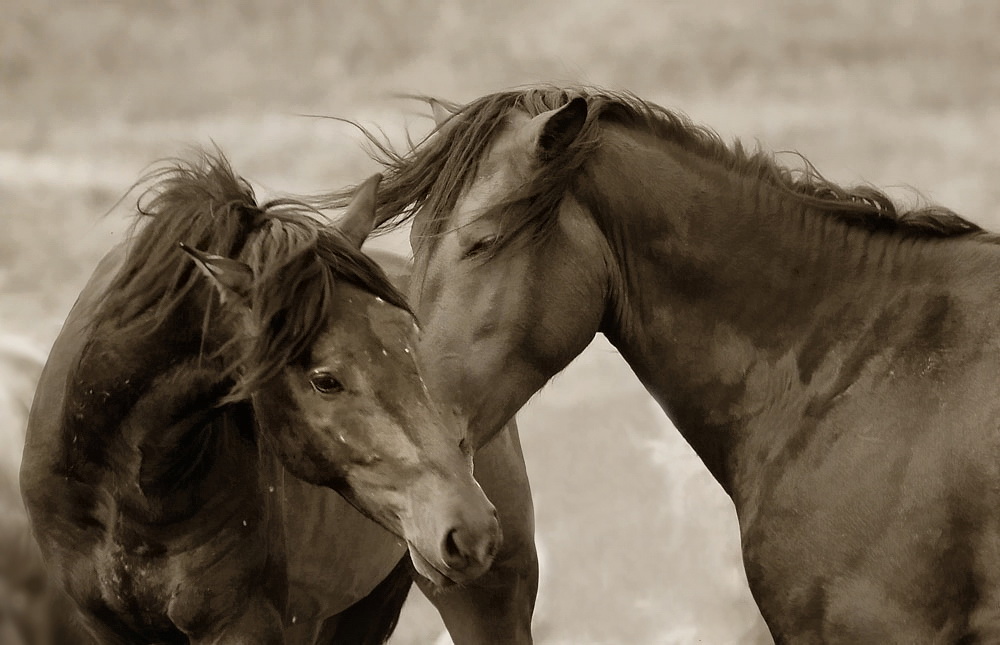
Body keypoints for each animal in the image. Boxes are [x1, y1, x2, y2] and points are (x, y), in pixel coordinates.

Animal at [21, 152, 508, 644]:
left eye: (412, 342)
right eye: (326, 381)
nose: (472, 529)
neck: (128, 490)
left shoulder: (242, 625)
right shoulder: (105, 627)